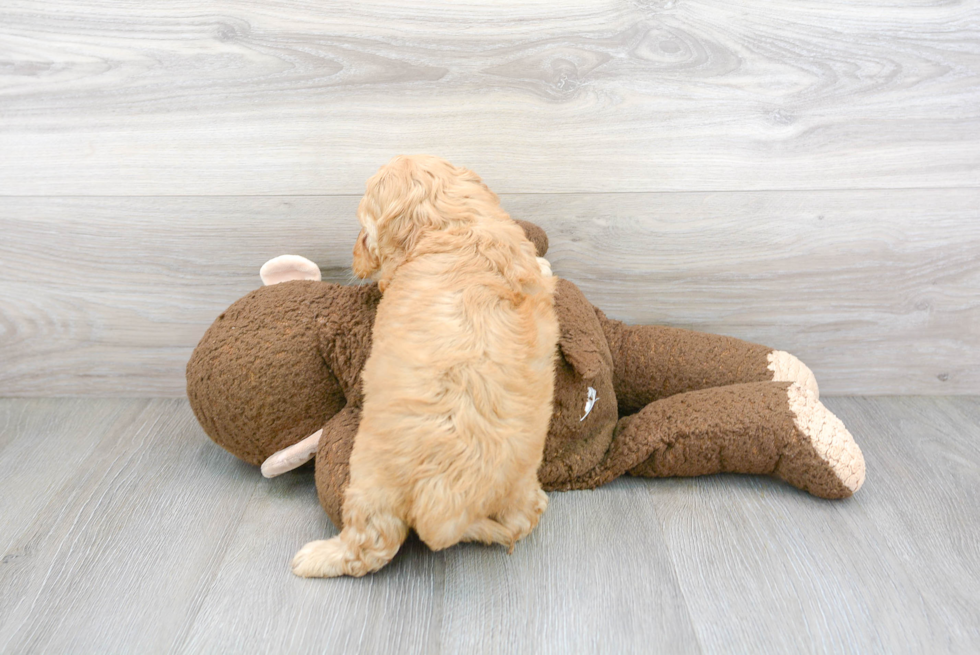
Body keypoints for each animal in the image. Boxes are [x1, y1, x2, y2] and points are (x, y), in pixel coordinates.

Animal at [290, 155, 560, 580]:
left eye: (362, 226)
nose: (354, 257)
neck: (456, 225)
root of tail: (445, 500)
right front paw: (546, 264)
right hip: (519, 483)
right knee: (519, 521)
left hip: (370, 480)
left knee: (371, 546)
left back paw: (317, 557)